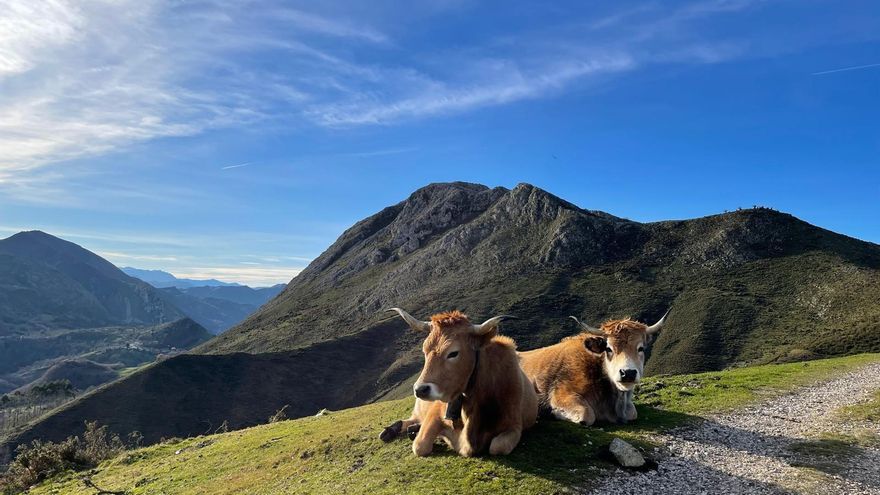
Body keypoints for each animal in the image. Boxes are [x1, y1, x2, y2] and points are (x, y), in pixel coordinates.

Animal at [379, 308, 538, 457]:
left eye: (453, 353)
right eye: (424, 350)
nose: (420, 389)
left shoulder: (514, 426)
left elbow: (498, 447)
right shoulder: (435, 413)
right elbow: (420, 446)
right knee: (411, 420)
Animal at [518, 310, 669, 425]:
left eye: (641, 348)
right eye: (608, 348)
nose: (628, 373)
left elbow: (632, 413)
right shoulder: (561, 394)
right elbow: (587, 414)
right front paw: (553, 413)